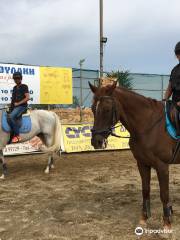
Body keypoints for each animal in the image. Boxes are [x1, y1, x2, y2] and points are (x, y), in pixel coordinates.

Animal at [88, 81, 177, 229]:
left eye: (107, 109)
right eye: (93, 109)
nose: (96, 141)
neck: (149, 125)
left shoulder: (162, 166)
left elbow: (164, 193)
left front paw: (167, 223)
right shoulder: (142, 163)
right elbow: (145, 190)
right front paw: (144, 219)